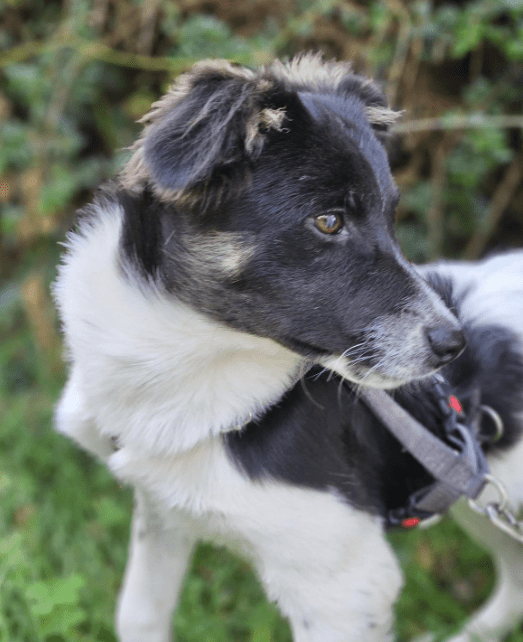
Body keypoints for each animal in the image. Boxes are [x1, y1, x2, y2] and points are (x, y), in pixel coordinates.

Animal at [52, 56, 523, 640]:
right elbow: (139, 615)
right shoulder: (161, 508)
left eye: (390, 217)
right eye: (328, 220)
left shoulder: (341, 582)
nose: (452, 346)